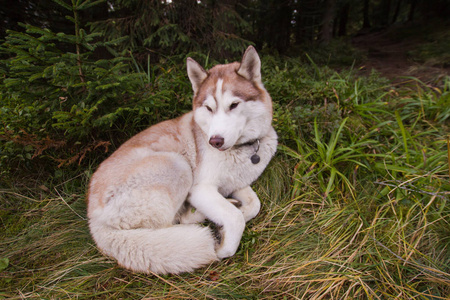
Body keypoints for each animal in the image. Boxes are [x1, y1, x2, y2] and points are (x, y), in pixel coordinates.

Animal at [87, 46, 278, 274]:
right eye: (209, 108)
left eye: (234, 105)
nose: (215, 141)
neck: (242, 149)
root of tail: (94, 221)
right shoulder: (201, 189)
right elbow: (234, 217)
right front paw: (224, 246)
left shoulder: (236, 183)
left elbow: (254, 204)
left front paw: (237, 209)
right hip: (177, 165)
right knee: (173, 223)